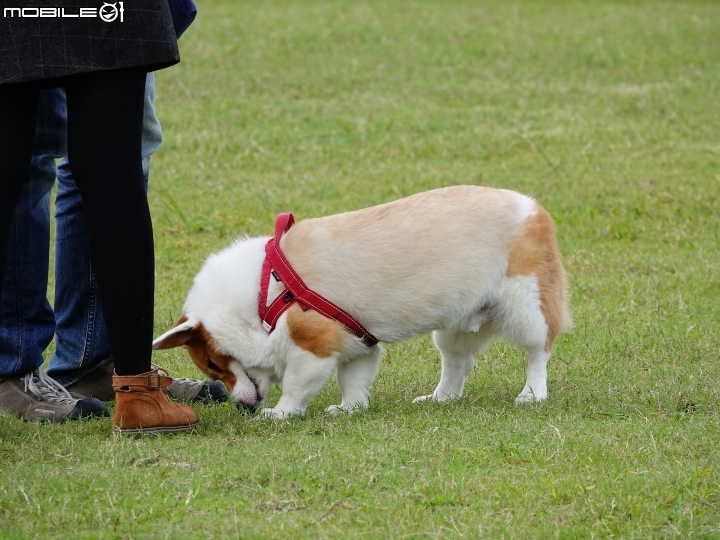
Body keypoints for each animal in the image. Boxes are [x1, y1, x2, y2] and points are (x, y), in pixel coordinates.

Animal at [155, 186, 572, 418]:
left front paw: (281, 414)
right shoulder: (357, 346)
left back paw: (532, 395)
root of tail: (535, 207)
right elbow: (352, 382)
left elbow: (295, 386)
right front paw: (349, 410)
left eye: (213, 364)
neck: (264, 294)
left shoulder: (313, 348)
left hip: (527, 309)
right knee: (458, 363)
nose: (240, 408)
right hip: (454, 326)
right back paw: (439, 399)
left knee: (537, 354)